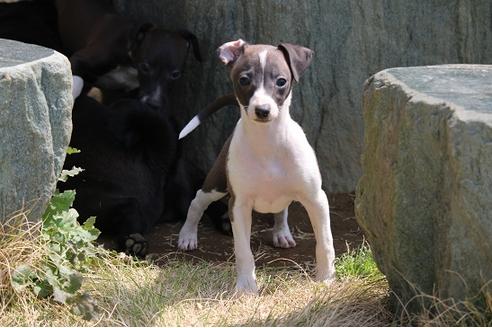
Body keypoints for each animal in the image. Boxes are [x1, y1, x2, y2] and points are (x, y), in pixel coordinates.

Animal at [177, 39, 334, 294]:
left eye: (281, 81)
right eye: (244, 80)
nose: (262, 110)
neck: (267, 141)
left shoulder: (316, 199)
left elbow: (325, 242)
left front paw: (326, 278)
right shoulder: (238, 205)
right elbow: (243, 251)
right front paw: (246, 287)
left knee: (282, 209)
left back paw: (281, 233)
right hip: (217, 184)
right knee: (197, 202)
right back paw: (187, 235)